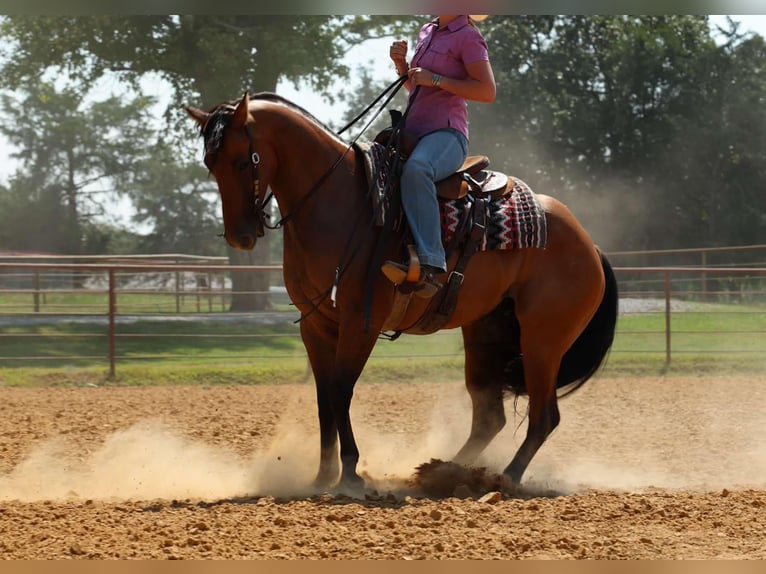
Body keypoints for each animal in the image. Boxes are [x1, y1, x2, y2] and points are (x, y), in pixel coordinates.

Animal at [184, 91, 618, 494]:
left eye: (243, 161)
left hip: (544, 340)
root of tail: (589, 245)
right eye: (210, 164)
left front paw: (351, 474)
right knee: (488, 416)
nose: (239, 236)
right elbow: (324, 399)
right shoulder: (316, 324)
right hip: (486, 331)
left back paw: (503, 478)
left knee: (544, 416)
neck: (341, 202)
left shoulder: (362, 322)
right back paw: (440, 472)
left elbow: (341, 390)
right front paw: (321, 476)